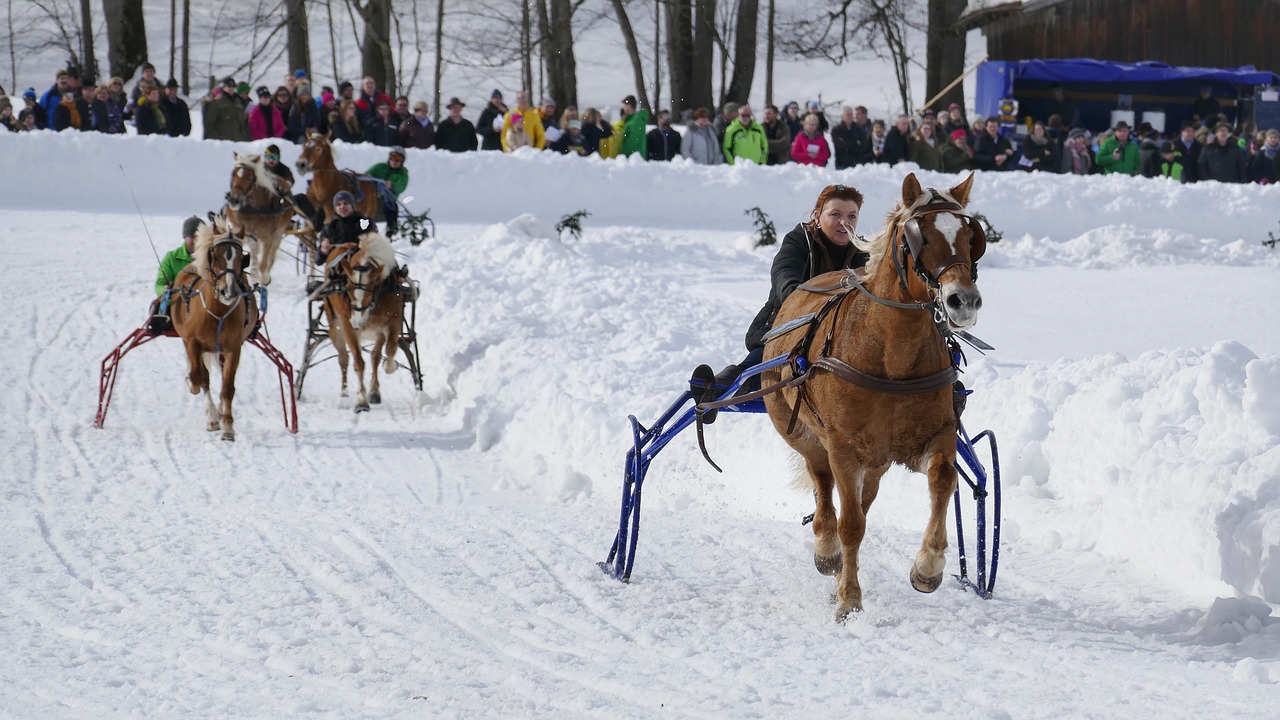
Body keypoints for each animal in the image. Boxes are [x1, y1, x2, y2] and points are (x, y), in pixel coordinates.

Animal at [170, 213, 259, 438]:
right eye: (216, 256)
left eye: (242, 258)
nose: (229, 291)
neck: (217, 312)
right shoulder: (193, 343)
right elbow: (198, 377)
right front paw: (191, 385)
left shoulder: (233, 347)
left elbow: (228, 387)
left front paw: (228, 425)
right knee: (204, 377)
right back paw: (212, 417)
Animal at [227, 151, 294, 285]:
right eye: (233, 174)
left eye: (250, 178)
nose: (233, 200)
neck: (254, 210)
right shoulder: (242, 233)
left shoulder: (268, 238)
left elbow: (262, 264)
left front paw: (264, 279)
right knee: (254, 255)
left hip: (278, 233)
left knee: (271, 256)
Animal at [316, 229, 404, 409]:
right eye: (347, 290)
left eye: (370, 292)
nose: (357, 322)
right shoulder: (347, 326)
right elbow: (358, 362)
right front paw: (361, 401)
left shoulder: (393, 320)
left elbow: (390, 349)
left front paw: (389, 367)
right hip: (335, 326)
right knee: (343, 358)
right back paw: (344, 391)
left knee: (375, 356)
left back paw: (374, 391)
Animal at [757, 172, 988, 617]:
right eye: (919, 236)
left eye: (971, 236)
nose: (963, 300)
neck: (891, 356)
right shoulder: (843, 446)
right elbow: (849, 524)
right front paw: (849, 599)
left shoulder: (937, 433)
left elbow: (943, 479)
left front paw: (927, 567)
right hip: (799, 431)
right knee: (824, 488)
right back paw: (826, 548)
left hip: (878, 460)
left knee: (861, 501)